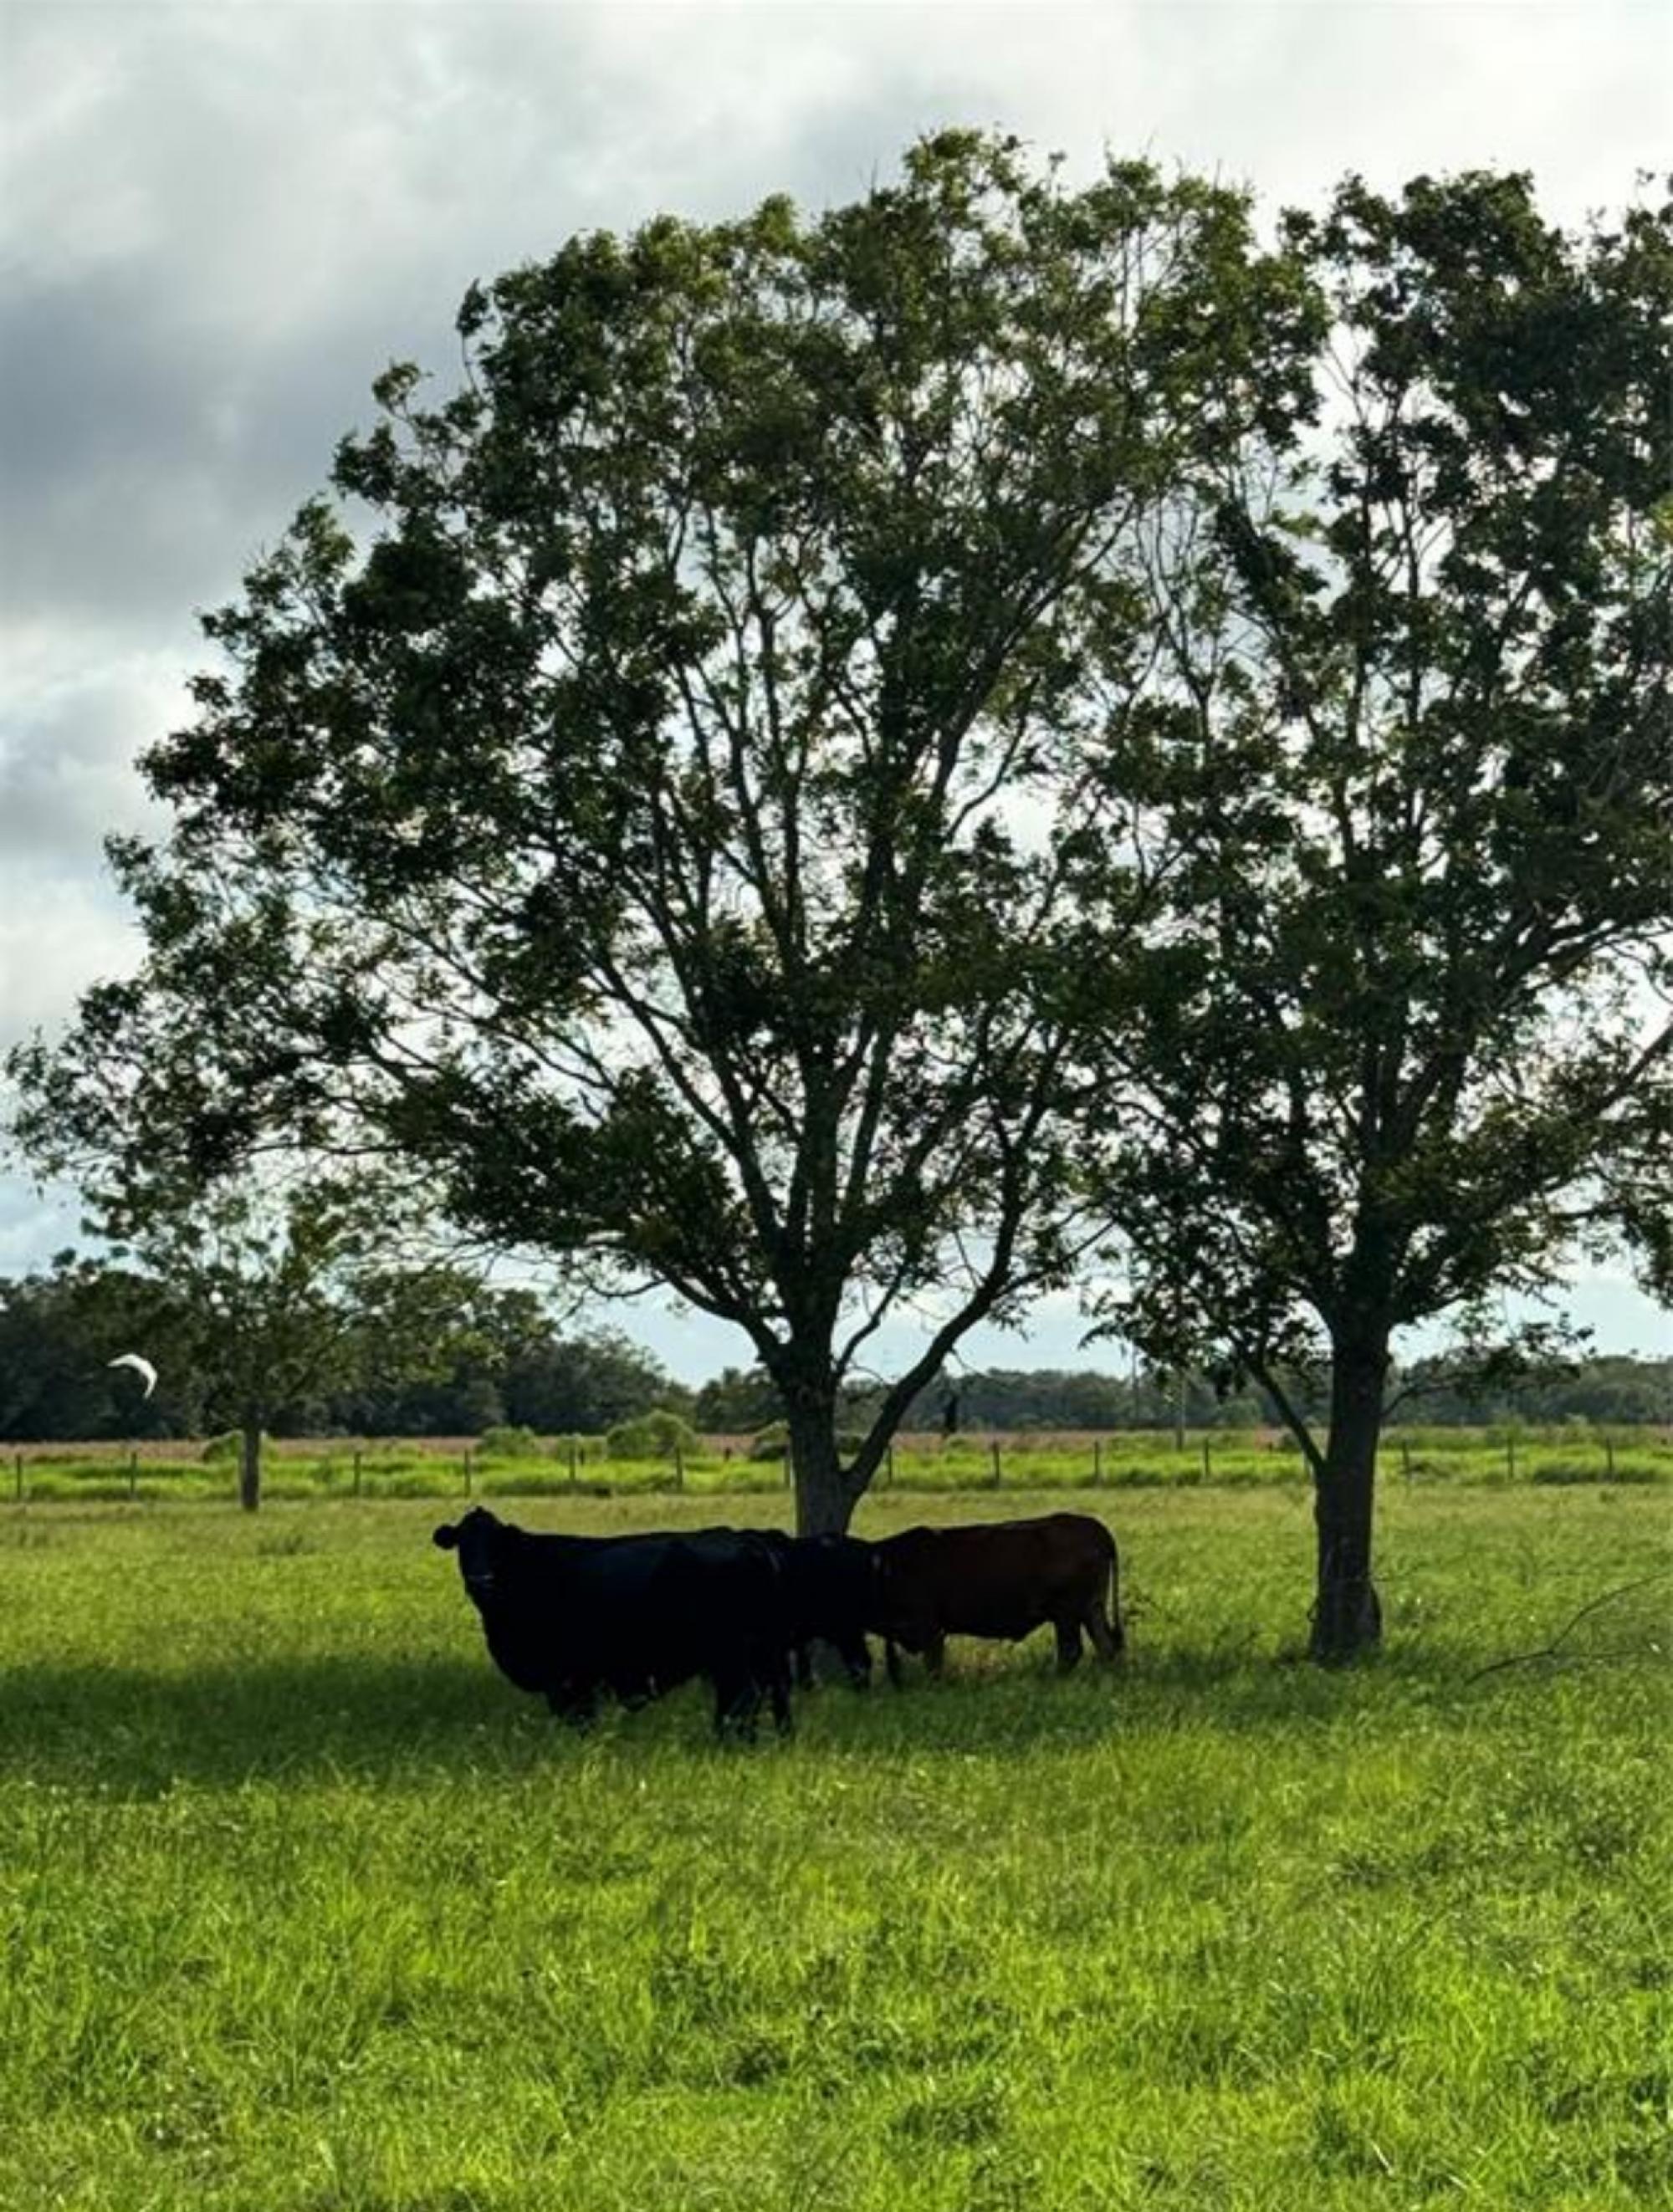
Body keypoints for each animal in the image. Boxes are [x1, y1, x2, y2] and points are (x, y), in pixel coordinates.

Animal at [431, 1513, 796, 1734]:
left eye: (496, 1545)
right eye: (463, 1544)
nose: (480, 1579)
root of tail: (747, 1539)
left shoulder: (567, 1678)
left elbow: (578, 1719)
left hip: (732, 1654)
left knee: (743, 1696)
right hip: (760, 1654)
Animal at [862, 1513, 1123, 1681]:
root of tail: (1097, 1529)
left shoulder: (929, 1627)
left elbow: (933, 1663)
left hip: (1067, 1612)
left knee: (1071, 1650)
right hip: (1091, 1608)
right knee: (1105, 1645)